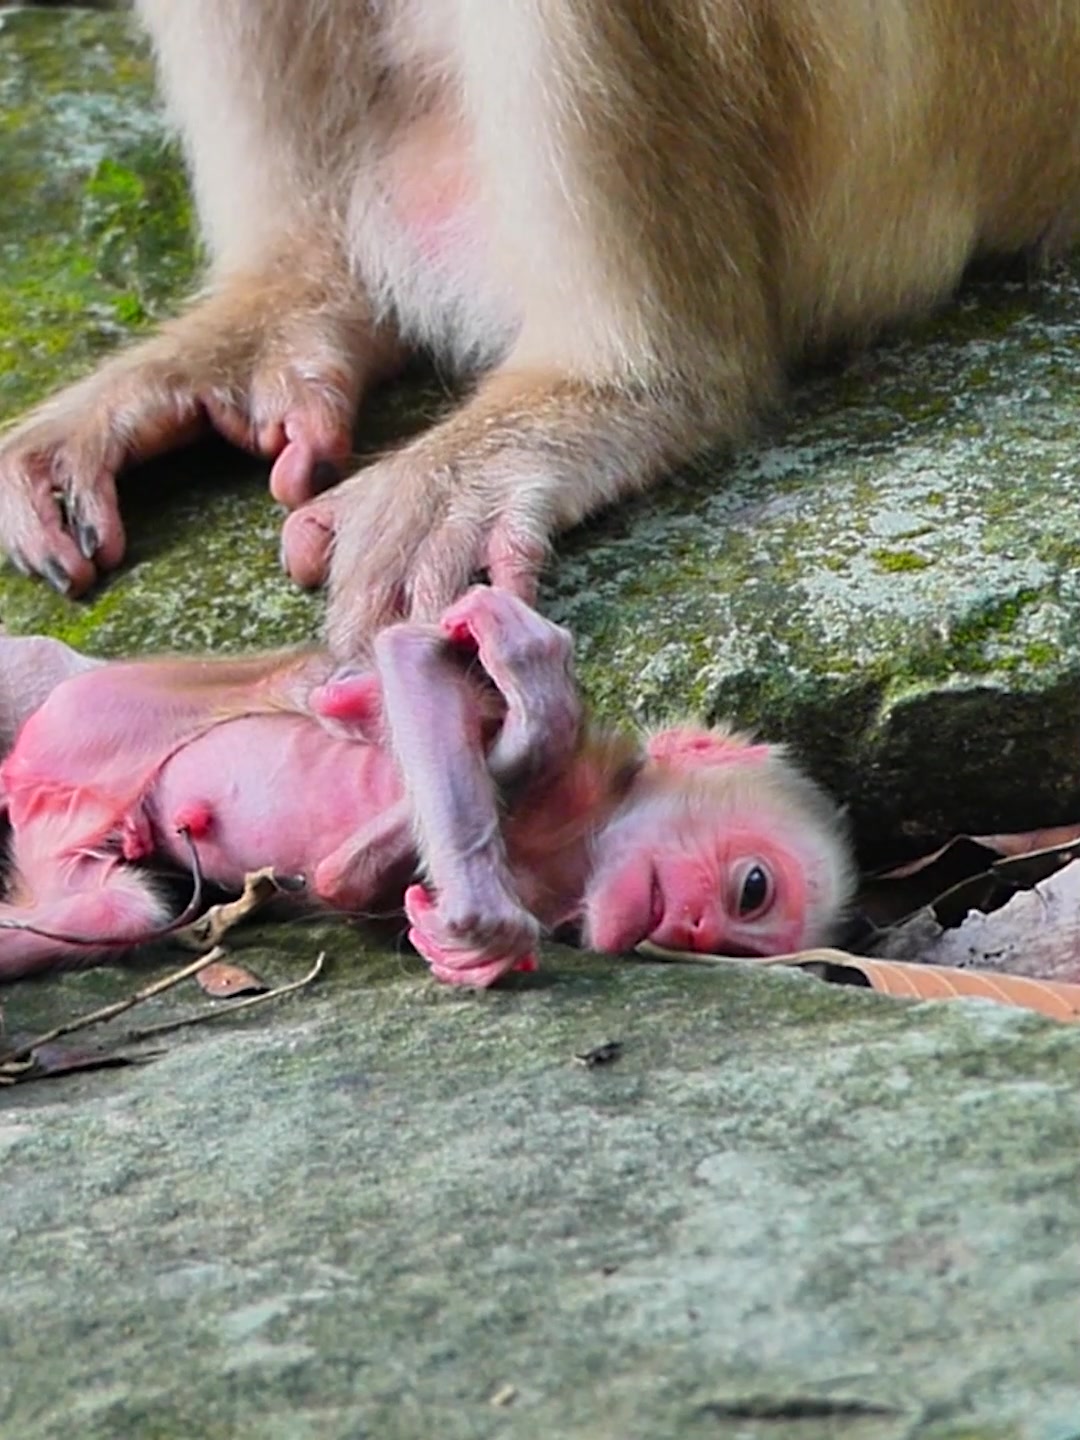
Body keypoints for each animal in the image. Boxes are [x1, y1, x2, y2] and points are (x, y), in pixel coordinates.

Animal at [0, 588, 854, 987]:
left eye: (736, 943)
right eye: (752, 889)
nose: (695, 929)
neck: (572, 840)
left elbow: (342, 882)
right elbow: (416, 657)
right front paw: (487, 921)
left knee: (109, 909)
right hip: (77, 706)